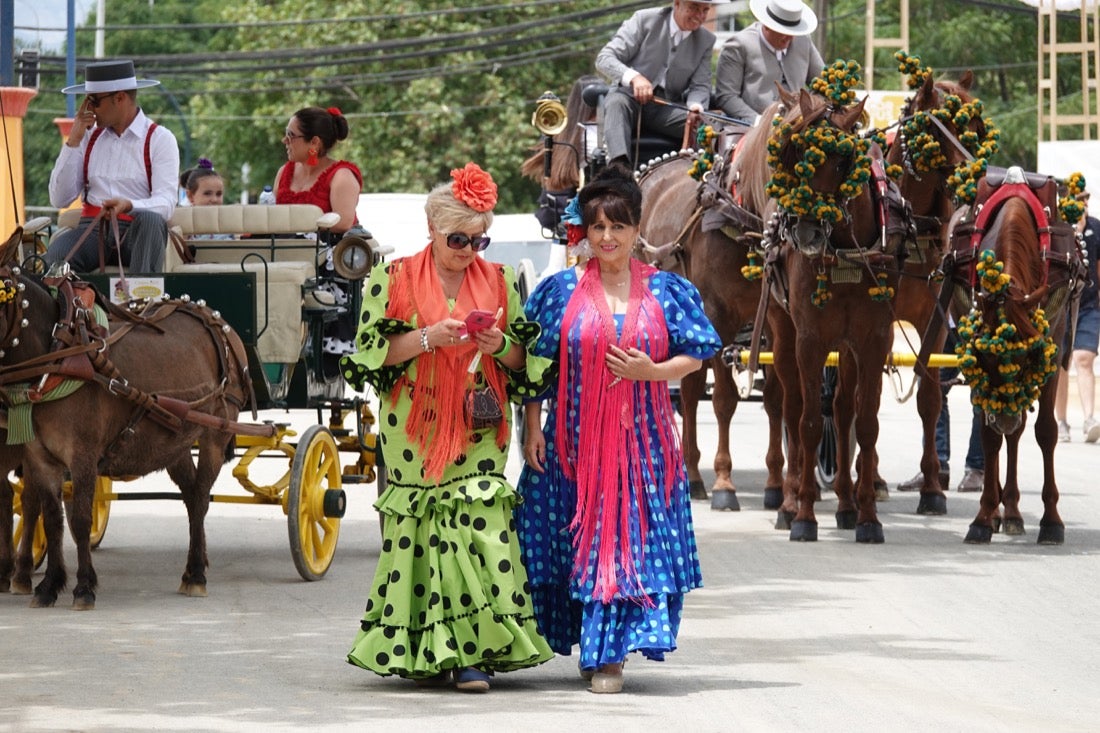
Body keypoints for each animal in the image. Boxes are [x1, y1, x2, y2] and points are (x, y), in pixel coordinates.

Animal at [0, 228, 268, 603]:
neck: (59, 354)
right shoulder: (38, 456)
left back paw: (196, 572)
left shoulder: (83, 455)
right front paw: (50, 584)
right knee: (190, 496)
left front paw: (84, 586)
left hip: (215, 432)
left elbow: (79, 518)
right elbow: (51, 518)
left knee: (201, 497)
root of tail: (213, 317)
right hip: (174, 440)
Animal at [756, 86, 910, 541]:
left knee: (841, 411)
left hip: (847, 346)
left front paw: (868, 517)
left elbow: (866, 422)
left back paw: (844, 503)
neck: (845, 248)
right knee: (790, 409)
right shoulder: (810, 340)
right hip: (782, 332)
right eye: (794, 152)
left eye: (843, 160)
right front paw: (804, 515)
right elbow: (807, 424)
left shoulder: (873, 339)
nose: (805, 232)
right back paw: (789, 501)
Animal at [937, 167, 1082, 541]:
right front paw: (984, 517)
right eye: (985, 360)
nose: (1005, 416)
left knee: (1017, 435)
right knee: (1002, 434)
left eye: (1027, 358)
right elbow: (989, 436)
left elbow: (1045, 432)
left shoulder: (1052, 346)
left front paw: (1051, 521)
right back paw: (1004, 510)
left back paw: (1014, 510)